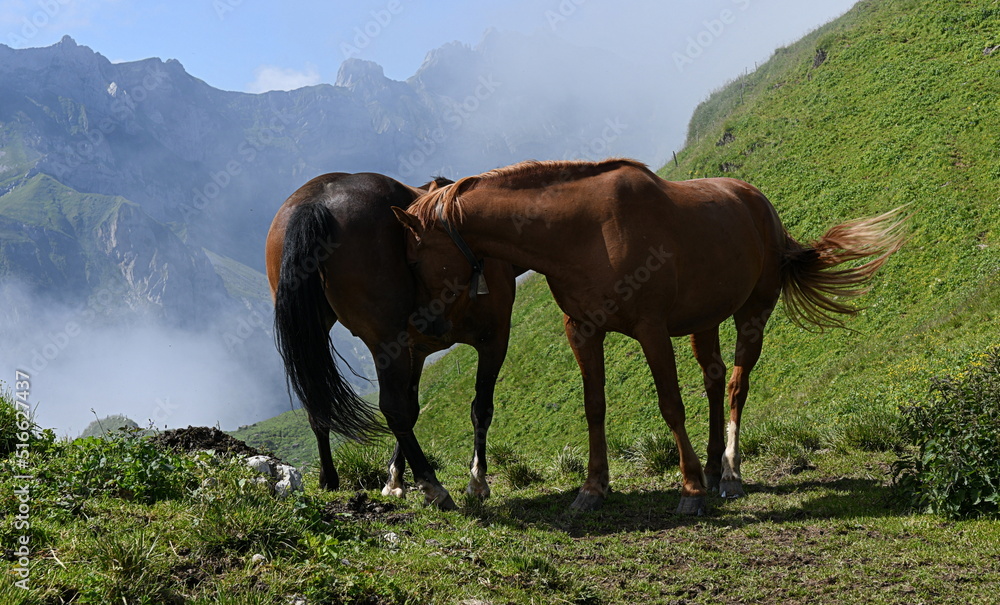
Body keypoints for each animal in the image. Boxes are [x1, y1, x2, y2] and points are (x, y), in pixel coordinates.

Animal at [266, 172, 516, 508]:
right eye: (413, 263)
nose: (432, 322)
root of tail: (315, 202)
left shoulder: (416, 350)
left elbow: (413, 409)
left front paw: (394, 480)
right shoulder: (495, 338)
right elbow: (480, 408)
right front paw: (477, 481)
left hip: (317, 337)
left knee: (319, 404)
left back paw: (329, 479)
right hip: (384, 340)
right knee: (392, 407)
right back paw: (433, 486)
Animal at [392, 157, 908, 516]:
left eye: (415, 260)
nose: (425, 329)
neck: (583, 231)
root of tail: (760, 206)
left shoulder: (651, 330)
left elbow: (671, 405)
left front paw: (691, 490)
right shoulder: (583, 332)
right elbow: (594, 407)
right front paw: (593, 488)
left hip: (753, 313)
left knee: (736, 385)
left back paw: (730, 473)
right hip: (705, 320)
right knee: (715, 380)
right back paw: (715, 467)